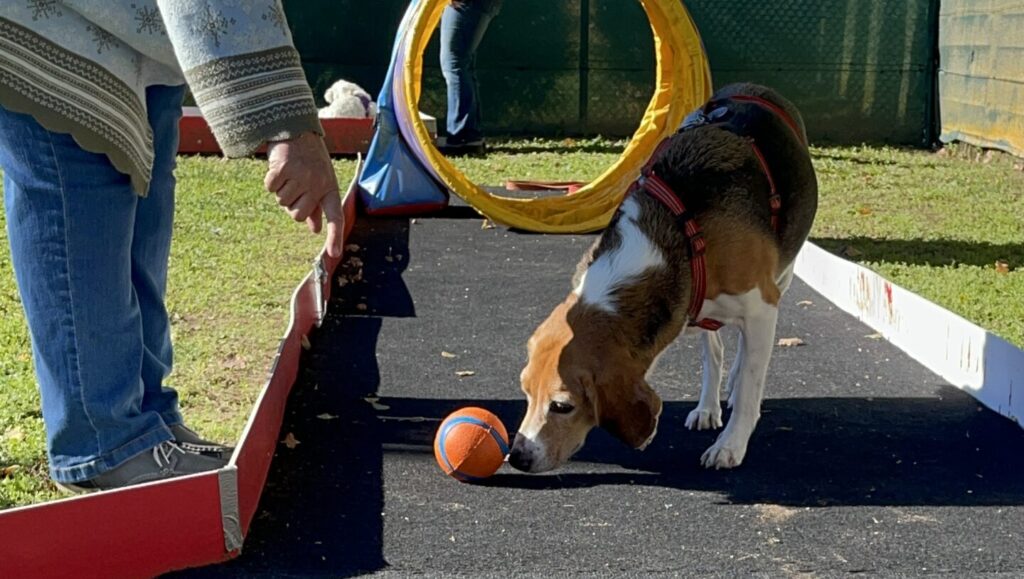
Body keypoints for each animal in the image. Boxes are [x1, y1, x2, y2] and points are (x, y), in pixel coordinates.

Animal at [509, 83, 815, 471]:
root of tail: (752, 87)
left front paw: (731, 444)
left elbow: (750, 384)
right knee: (714, 350)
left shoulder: (763, 305)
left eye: (562, 406)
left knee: (746, 356)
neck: (673, 236)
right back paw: (707, 407)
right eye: (525, 391)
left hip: (782, 277)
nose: (517, 456)